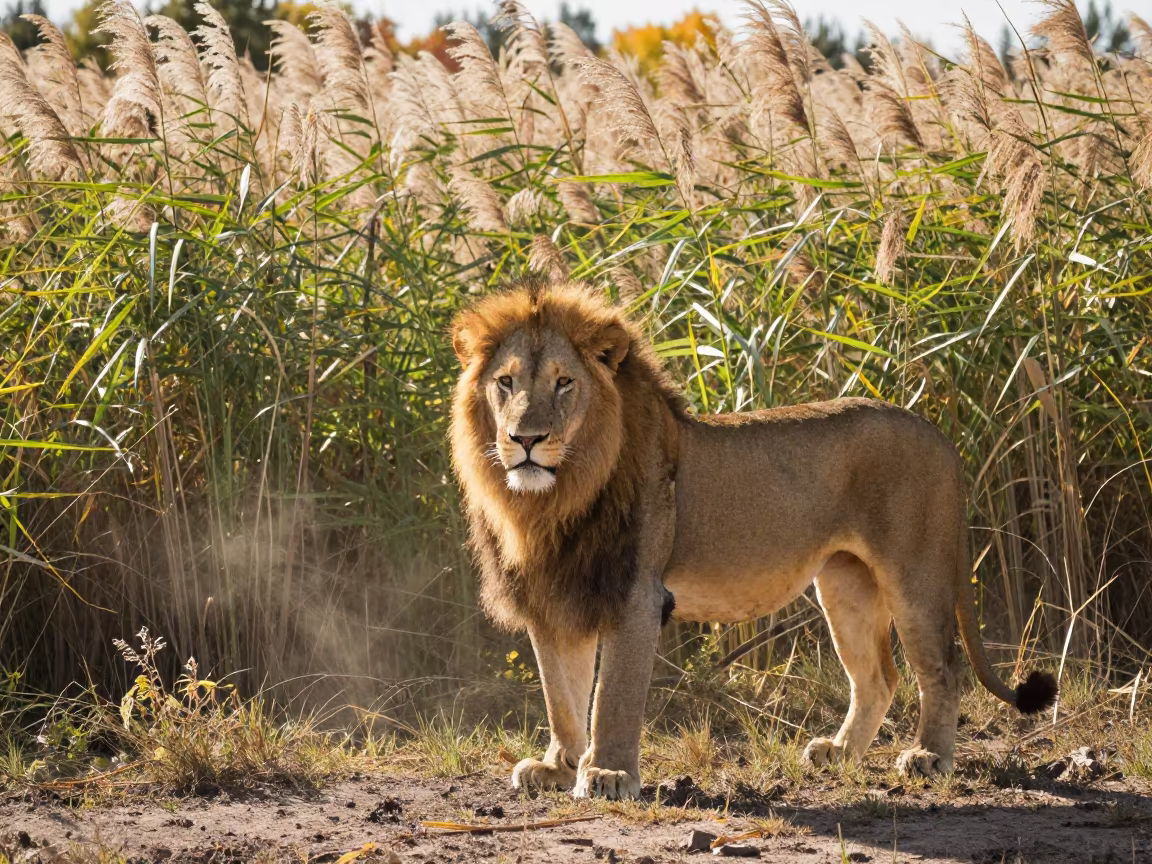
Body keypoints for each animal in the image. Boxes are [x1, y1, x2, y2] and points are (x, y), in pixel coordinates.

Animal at [449, 279, 1056, 801]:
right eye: (506, 383)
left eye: (564, 382)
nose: (526, 439)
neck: (554, 500)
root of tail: (939, 434)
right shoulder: (558, 592)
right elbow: (562, 694)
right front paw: (558, 767)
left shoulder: (635, 593)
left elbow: (611, 697)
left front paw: (606, 773)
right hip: (846, 584)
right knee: (877, 678)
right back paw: (839, 752)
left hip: (915, 574)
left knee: (943, 668)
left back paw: (929, 757)